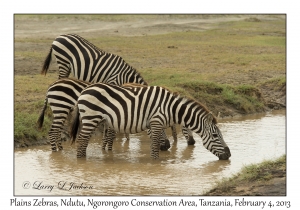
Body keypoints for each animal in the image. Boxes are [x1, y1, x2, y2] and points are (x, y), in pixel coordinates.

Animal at [40, 33, 195, 146]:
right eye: (185, 126)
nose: (193, 143)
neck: (126, 77)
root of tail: (60, 36)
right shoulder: (114, 83)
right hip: (64, 63)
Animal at [69, 82, 231, 159]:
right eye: (215, 136)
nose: (229, 155)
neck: (170, 108)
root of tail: (83, 91)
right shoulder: (156, 122)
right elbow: (154, 148)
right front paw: (155, 164)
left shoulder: (155, 125)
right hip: (90, 118)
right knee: (82, 140)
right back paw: (81, 160)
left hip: (96, 120)